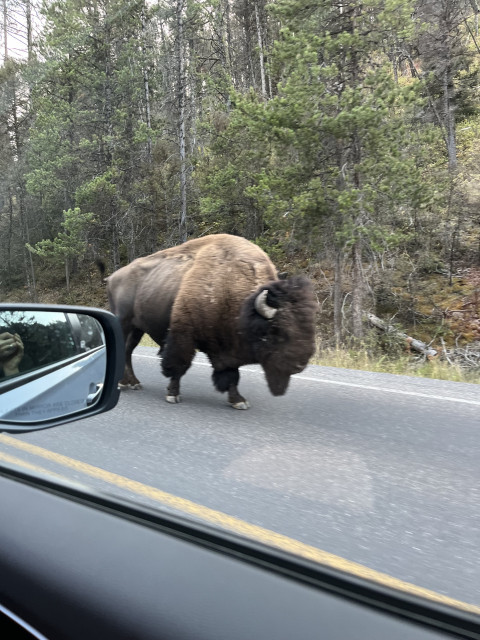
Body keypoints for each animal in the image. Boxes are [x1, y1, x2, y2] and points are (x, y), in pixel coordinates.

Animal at [103, 235, 316, 410]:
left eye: (308, 328)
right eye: (278, 331)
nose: (300, 364)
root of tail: (113, 276)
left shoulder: (227, 348)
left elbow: (232, 375)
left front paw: (238, 401)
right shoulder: (183, 336)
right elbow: (178, 365)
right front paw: (173, 395)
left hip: (137, 328)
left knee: (128, 350)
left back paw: (131, 382)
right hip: (123, 322)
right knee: (126, 350)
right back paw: (126, 383)